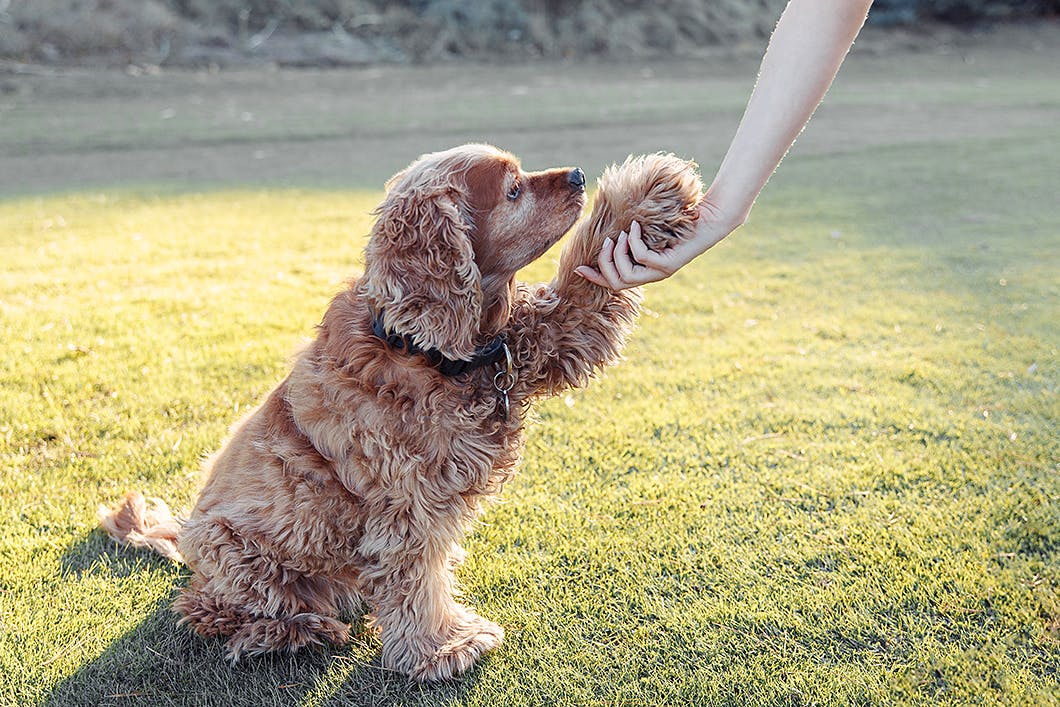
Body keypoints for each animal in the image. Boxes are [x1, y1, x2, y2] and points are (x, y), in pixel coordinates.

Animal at [101, 144, 703, 678]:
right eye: (512, 189)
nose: (579, 174)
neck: (426, 349)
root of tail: (184, 537)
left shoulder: (540, 342)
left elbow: (585, 284)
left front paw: (649, 194)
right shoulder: (407, 504)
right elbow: (417, 581)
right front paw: (444, 648)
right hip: (241, 554)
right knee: (211, 610)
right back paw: (292, 629)